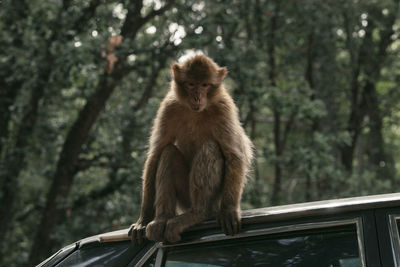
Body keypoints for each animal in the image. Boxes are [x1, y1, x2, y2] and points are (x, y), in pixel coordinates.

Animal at [128, 54, 253, 245]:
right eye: (191, 84)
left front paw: (229, 210)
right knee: (168, 153)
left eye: (205, 85)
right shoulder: (169, 106)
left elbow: (234, 155)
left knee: (210, 147)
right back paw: (162, 219)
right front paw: (143, 219)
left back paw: (198, 213)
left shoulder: (224, 108)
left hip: (214, 197)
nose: (197, 97)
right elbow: (155, 154)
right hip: (185, 198)